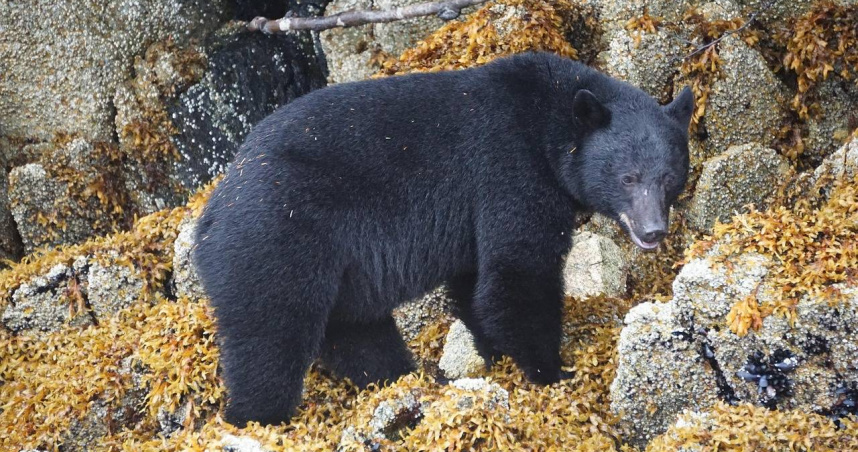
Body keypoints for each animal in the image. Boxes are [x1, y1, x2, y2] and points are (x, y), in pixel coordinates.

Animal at [193, 51, 694, 426]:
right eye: (629, 178)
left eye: (669, 177)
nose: (653, 230)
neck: (546, 120)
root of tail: (210, 216)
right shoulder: (509, 168)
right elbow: (518, 270)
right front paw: (552, 370)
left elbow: (475, 286)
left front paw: (497, 358)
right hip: (275, 241)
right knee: (270, 339)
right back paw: (257, 417)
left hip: (335, 271)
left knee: (357, 330)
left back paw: (405, 382)